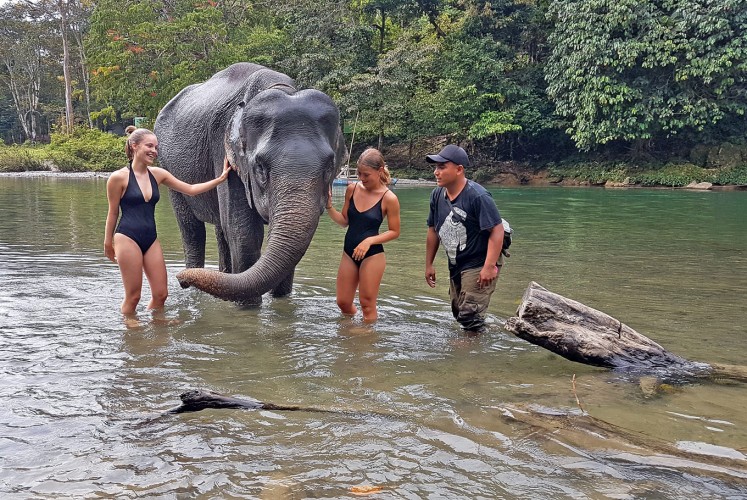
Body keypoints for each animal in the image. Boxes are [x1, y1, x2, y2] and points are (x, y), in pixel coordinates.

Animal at [156, 62, 350, 304]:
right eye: (260, 167)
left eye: (329, 168)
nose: (180, 278)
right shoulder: (224, 152)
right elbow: (244, 233)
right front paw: (248, 306)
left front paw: (281, 301)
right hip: (168, 167)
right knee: (192, 230)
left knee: (220, 229)